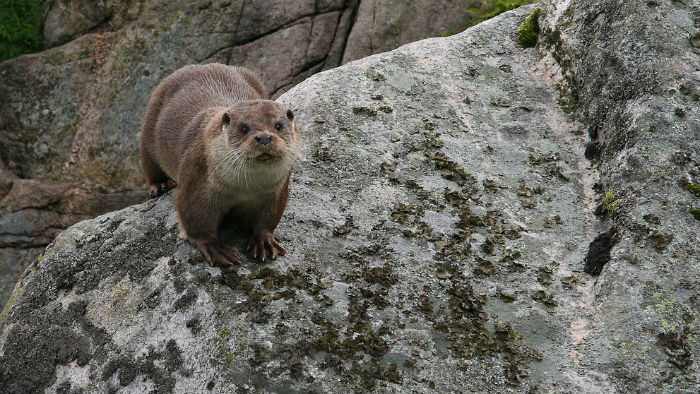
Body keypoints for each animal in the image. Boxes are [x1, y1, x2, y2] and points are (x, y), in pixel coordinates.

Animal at [138, 63, 300, 268]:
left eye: (278, 126)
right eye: (244, 128)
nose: (264, 137)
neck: (245, 187)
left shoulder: (275, 192)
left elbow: (267, 219)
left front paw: (264, 241)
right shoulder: (197, 178)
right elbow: (195, 219)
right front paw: (215, 248)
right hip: (150, 126)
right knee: (149, 161)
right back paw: (159, 185)